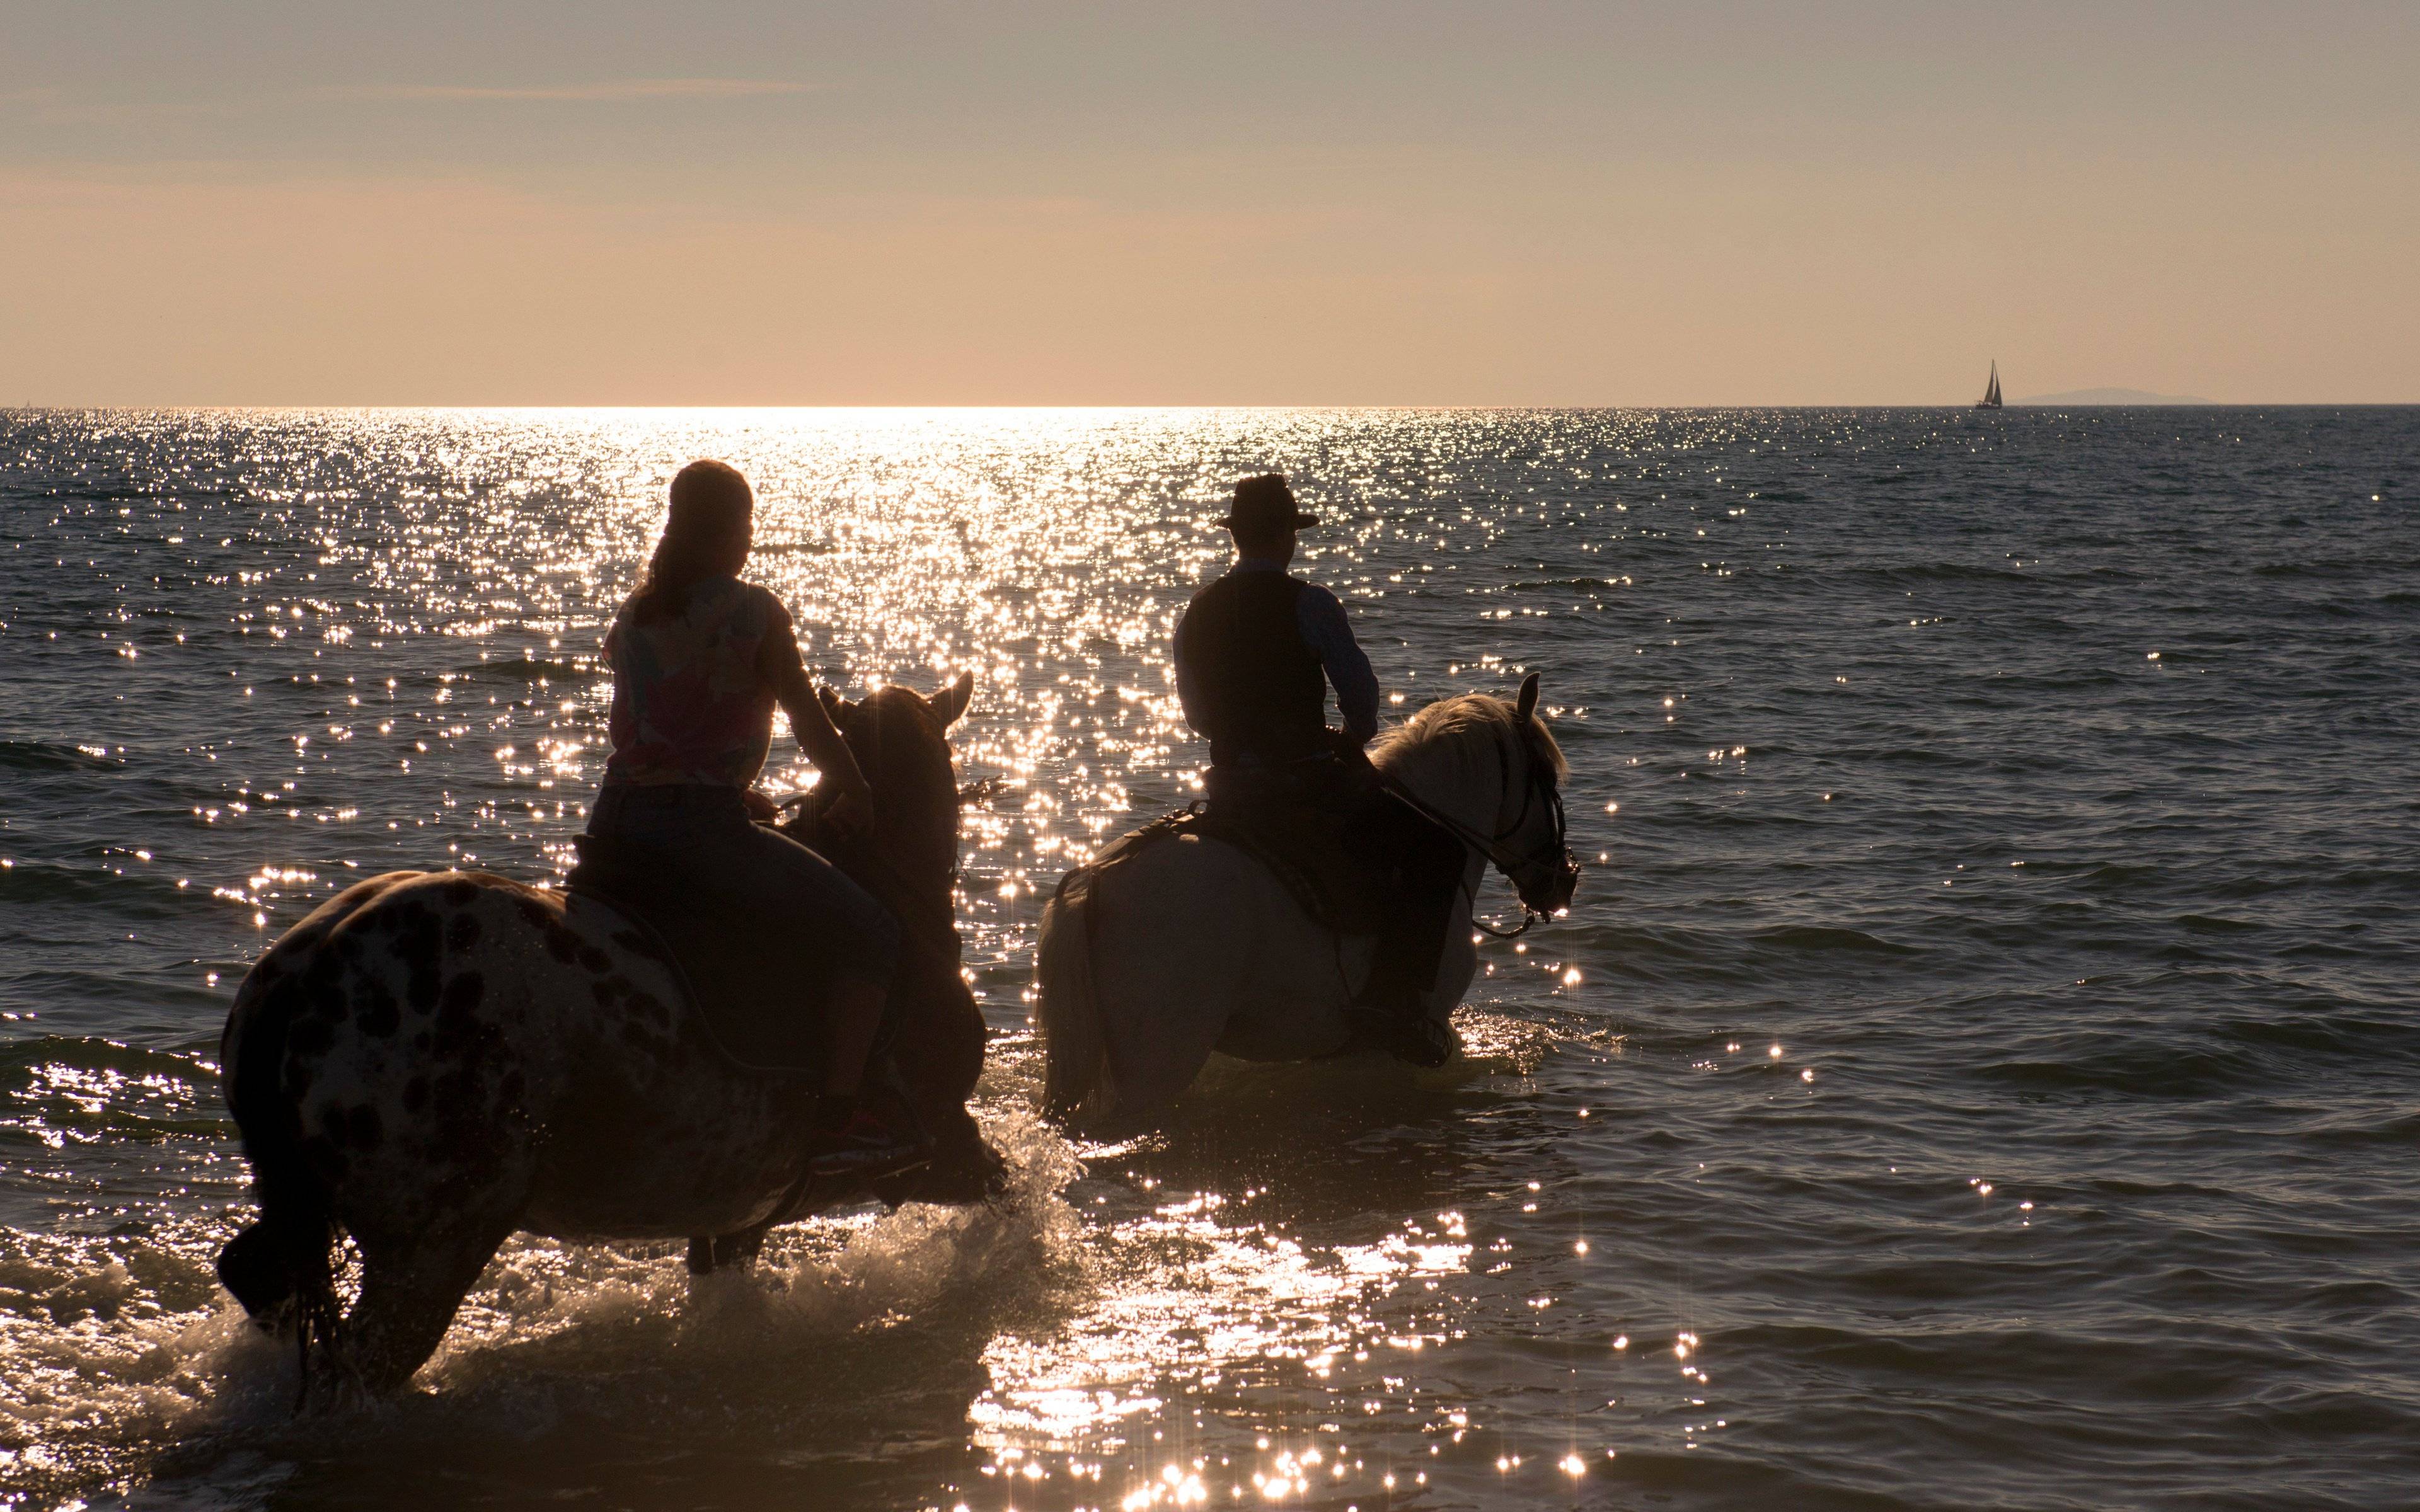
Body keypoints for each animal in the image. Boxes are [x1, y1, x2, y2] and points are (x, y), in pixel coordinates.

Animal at [212, 677, 997, 1393]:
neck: (894, 891)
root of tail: (307, 968)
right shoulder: (938, 1140)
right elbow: (1003, 1192)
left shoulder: (745, 1201)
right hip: (433, 1247)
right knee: (367, 1361)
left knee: (256, 1274)